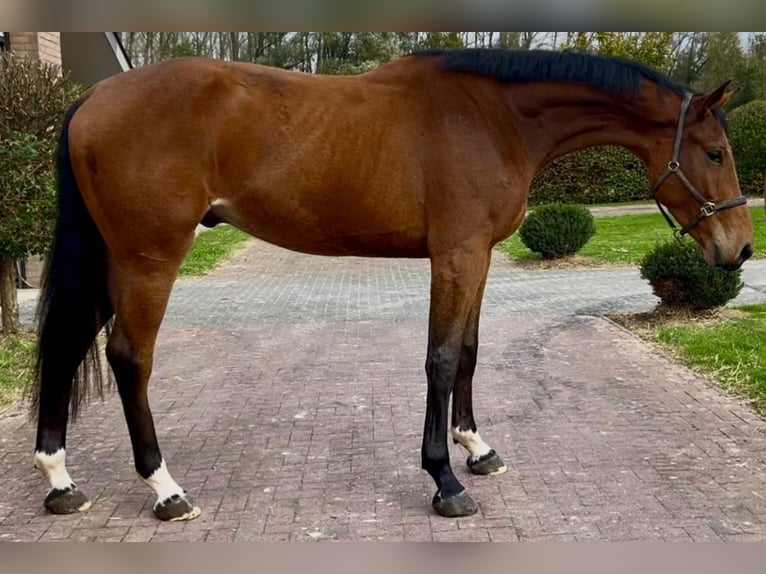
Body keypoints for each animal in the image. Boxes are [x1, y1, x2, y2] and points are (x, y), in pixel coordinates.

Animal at [31, 49, 756, 524]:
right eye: (714, 153)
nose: (741, 249)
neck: (494, 116)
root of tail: (94, 98)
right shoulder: (456, 255)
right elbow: (440, 358)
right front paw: (445, 480)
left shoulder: (478, 256)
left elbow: (468, 352)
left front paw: (477, 448)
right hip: (148, 258)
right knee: (129, 357)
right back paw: (165, 489)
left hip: (113, 260)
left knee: (67, 346)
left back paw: (61, 481)